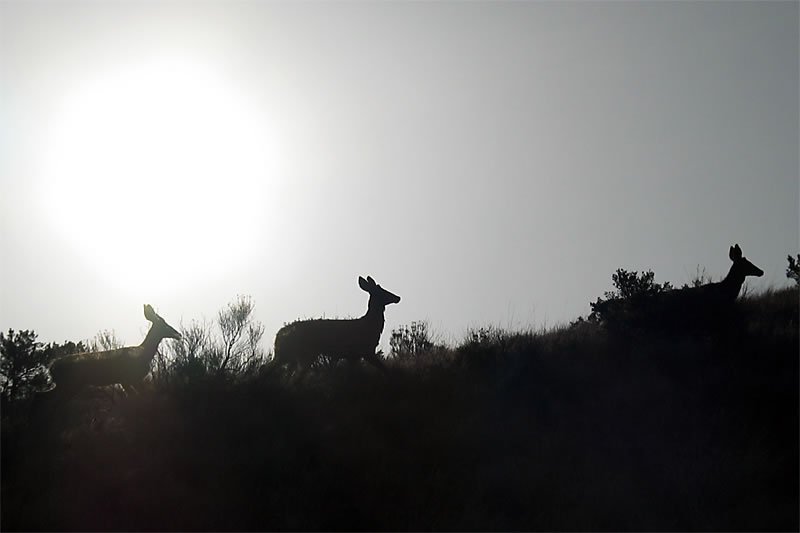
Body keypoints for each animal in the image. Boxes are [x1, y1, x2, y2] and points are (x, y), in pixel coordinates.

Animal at [268, 276, 401, 378]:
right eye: (382, 290)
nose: (398, 297)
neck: (370, 325)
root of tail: (279, 334)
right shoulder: (365, 351)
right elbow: (385, 370)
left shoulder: (354, 356)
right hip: (301, 353)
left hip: (292, 355)